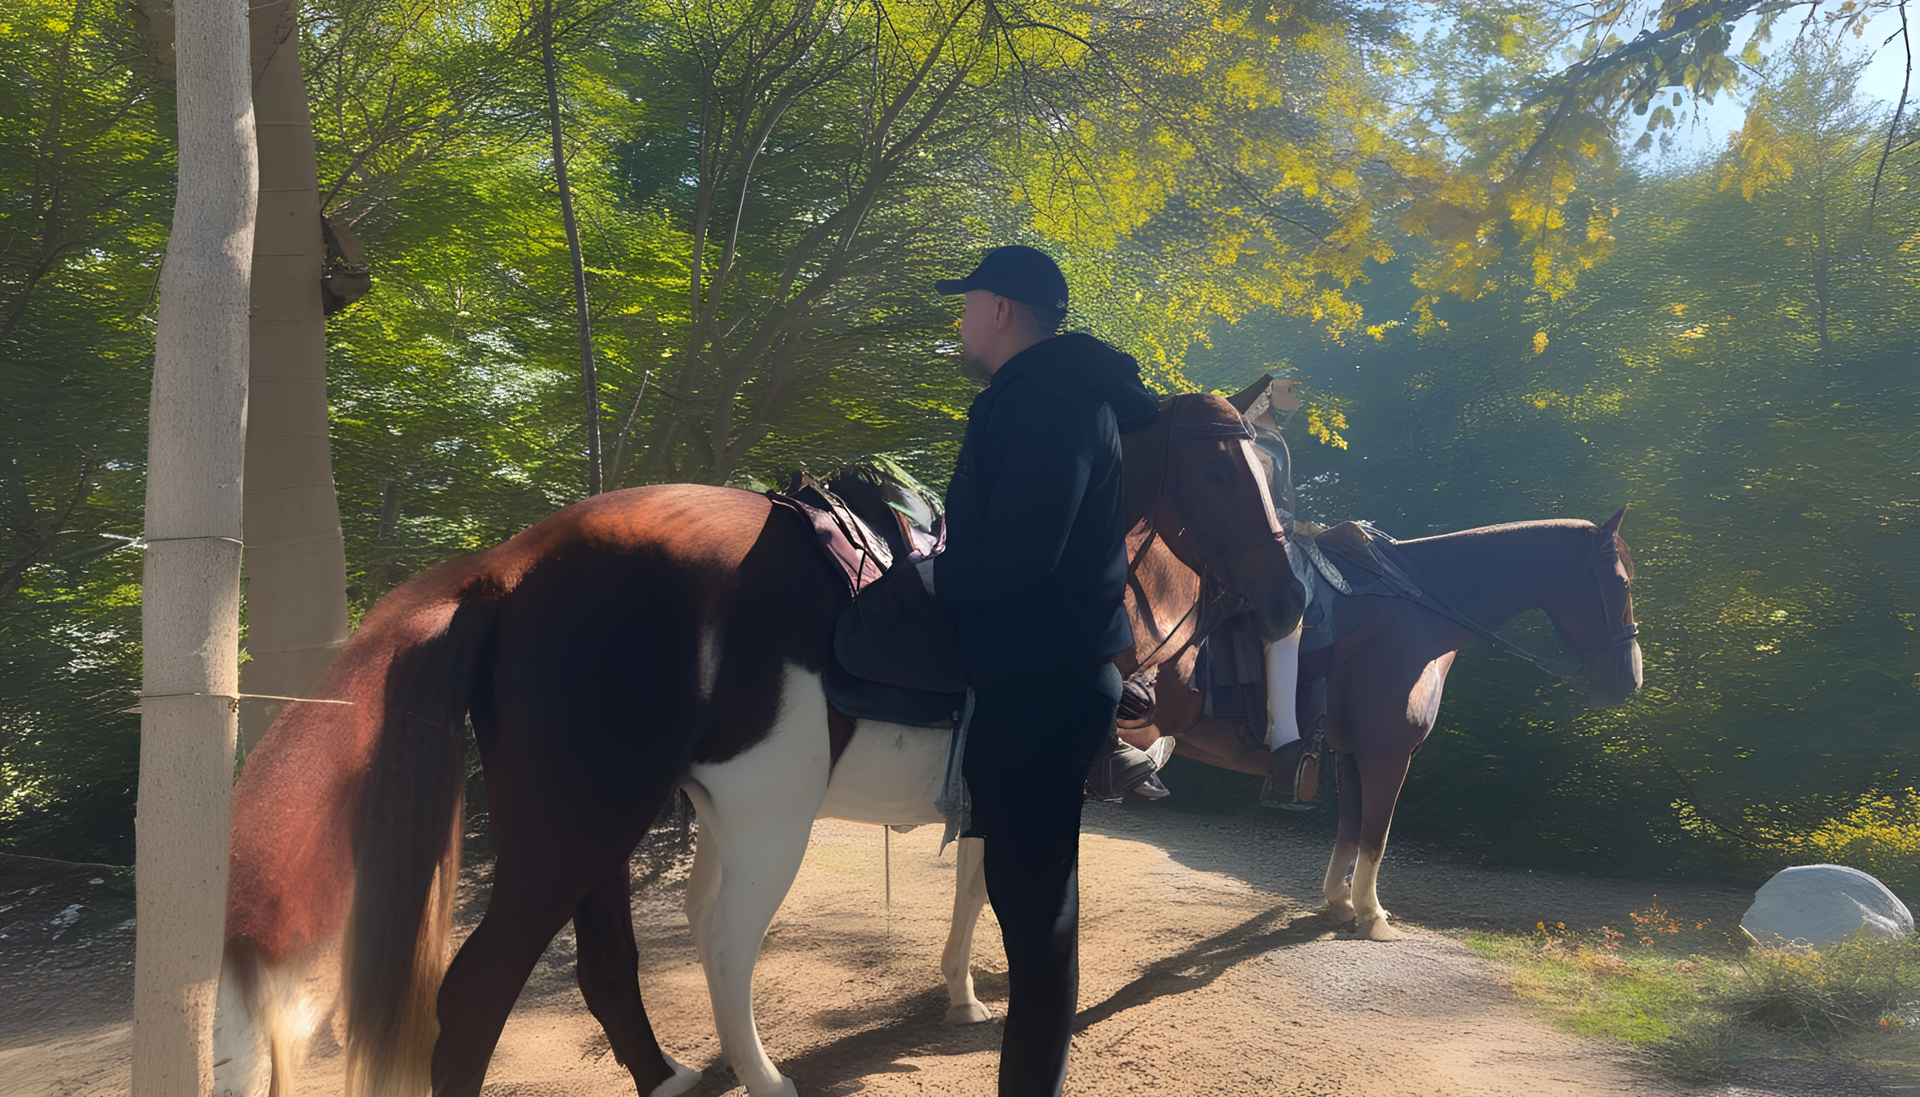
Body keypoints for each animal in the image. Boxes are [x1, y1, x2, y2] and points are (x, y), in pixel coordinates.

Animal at [217, 388, 1313, 1097]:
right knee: (500, 986)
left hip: (608, 818)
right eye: (1216, 463)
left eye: (1273, 466)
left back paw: (672, 1075)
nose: (1290, 598)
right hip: (656, 821)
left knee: (611, 963)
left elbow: (966, 889)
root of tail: (513, 562)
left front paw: (958, 993)